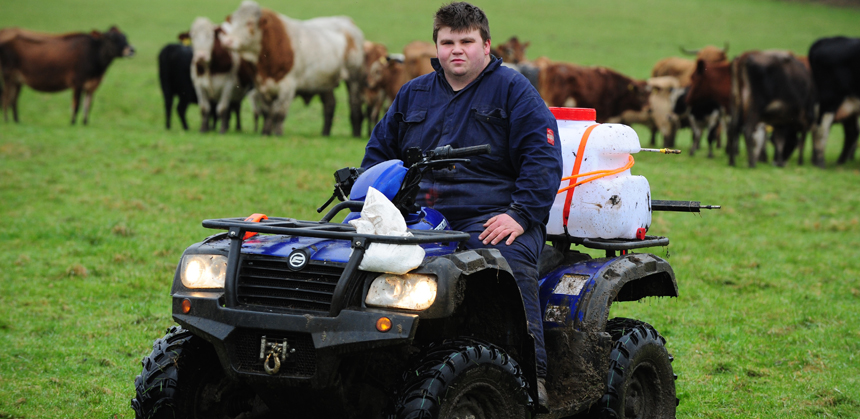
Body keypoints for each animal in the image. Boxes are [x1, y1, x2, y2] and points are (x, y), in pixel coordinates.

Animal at [0, 25, 134, 124]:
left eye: (125, 37)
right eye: (112, 39)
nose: (132, 50)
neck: (94, 53)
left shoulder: (92, 86)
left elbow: (88, 105)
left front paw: (85, 123)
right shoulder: (77, 82)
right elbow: (76, 105)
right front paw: (72, 123)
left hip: (17, 79)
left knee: (13, 100)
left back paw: (17, 121)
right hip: (8, 75)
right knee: (6, 98)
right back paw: (7, 121)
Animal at [220, 0, 364, 137]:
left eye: (249, 23)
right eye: (232, 21)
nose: (227, 41)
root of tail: (346, 21)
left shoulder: (287, 87)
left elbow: (278, 113)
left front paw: (278, 134)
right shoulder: (261, 86)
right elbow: (267, 112)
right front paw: (266, 132)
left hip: (354, 78)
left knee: (354, 103)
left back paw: (356, 133)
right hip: (325, 83)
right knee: (329, 104)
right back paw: (325, 133)